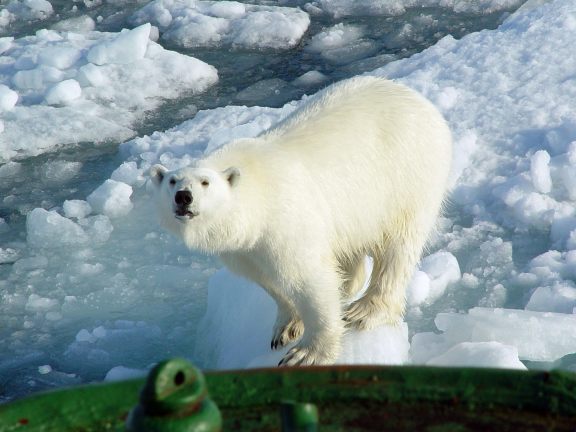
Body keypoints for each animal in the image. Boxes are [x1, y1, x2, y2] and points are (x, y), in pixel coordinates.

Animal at [151, 76, 452, 366]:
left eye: (205, 182)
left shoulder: (285, 220)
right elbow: (269, 281)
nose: (183, 197)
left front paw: (307, 353)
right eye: (172, 181)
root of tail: (421, 101)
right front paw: (285, 329)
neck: (256, 193)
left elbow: (308, 279)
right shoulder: (242, 250)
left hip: (407, 176)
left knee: (398, 248)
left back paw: (364, 310)